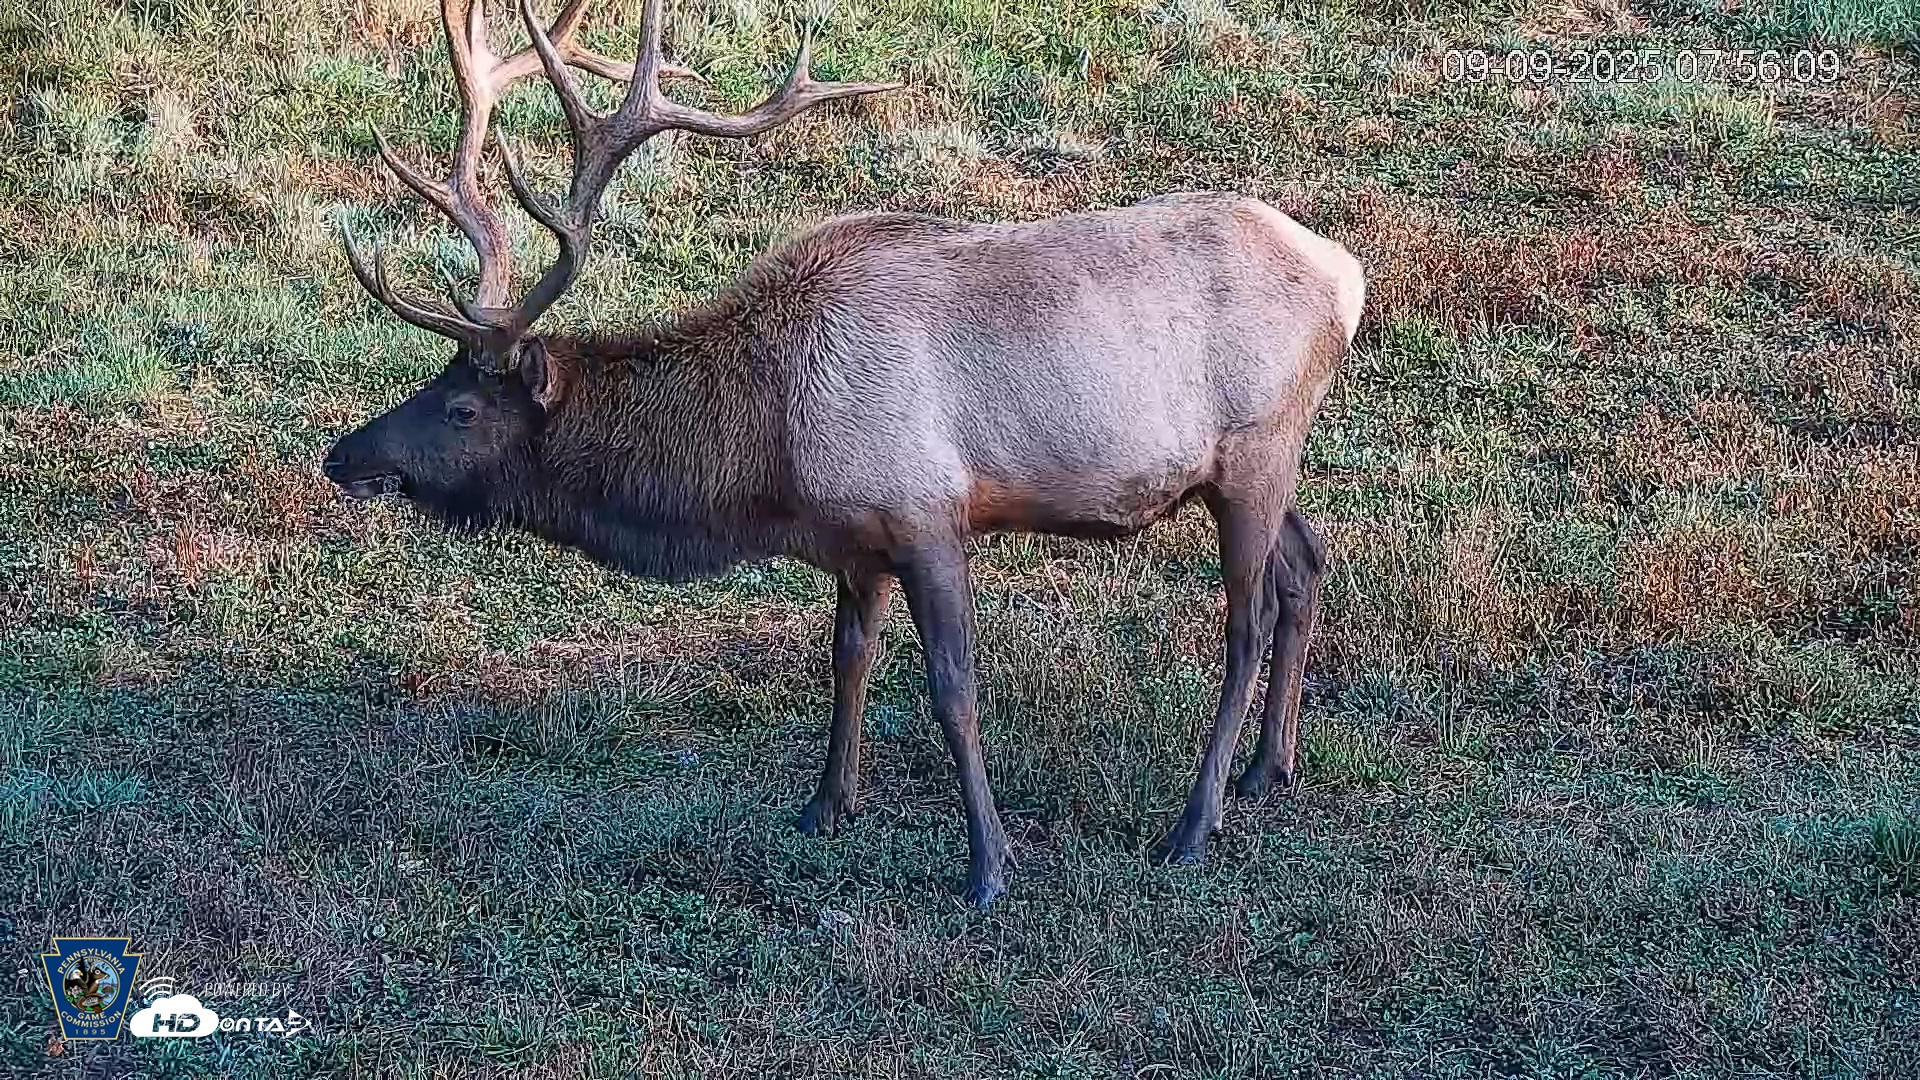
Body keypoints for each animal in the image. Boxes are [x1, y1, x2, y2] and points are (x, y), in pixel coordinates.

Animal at [321, 0, 1365, 907]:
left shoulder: (929, 513)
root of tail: (1345, 277)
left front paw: (989, 866)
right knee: (1306, 561)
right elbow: (848, 658)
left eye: (461, 406)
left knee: (1244, 621)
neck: (773, 453)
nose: (341, 455)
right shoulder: (854, 541)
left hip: (1257, 448)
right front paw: (825, 805)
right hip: (1245, 466)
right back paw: (1271, 769)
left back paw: (1193, 824)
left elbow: (952, 689)